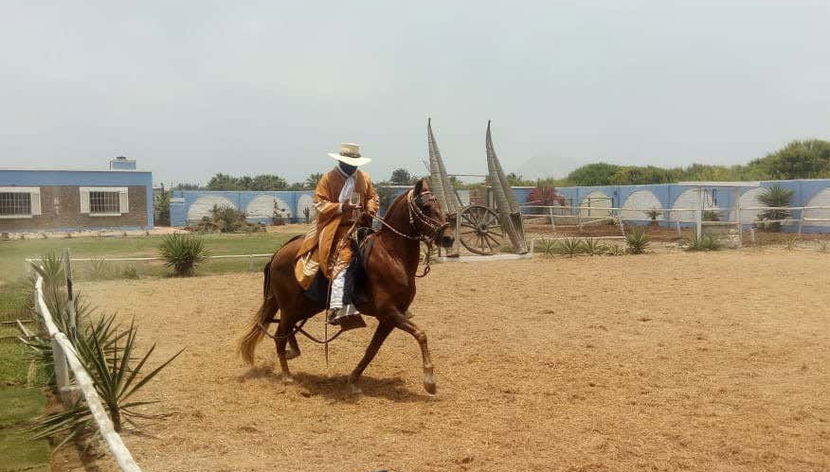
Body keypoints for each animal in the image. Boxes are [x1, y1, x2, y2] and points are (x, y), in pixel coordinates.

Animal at [238, 178, 454, 394]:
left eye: (439, 205)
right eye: (426, 207)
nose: (448, 237)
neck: (392, 255)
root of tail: (278, 253)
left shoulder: (390, 319)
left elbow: (372, 350)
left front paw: (353, 380)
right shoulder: (389, 312)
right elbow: (421, 334)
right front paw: (429, 380)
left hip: (303, 307)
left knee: (286, 332)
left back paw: (293, 354)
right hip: (291, 307)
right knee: (279, 336)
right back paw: (287, 376)